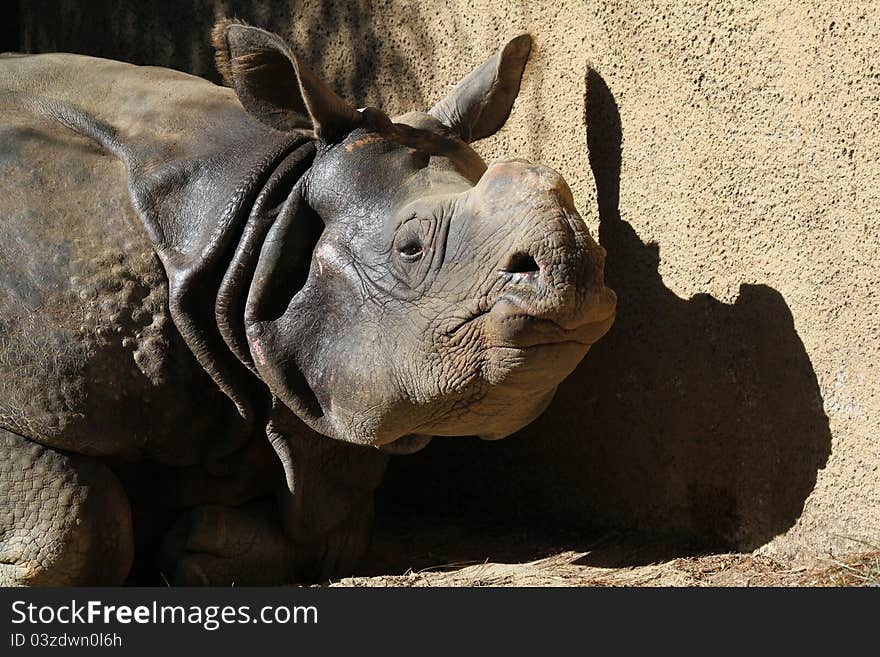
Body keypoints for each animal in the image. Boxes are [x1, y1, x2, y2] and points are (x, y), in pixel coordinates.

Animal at [0, 20, 620, 584]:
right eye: (411, 248)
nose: (575, 280)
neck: (264, 216)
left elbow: (330, 526)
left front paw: (197, 546)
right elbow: (76, 519)